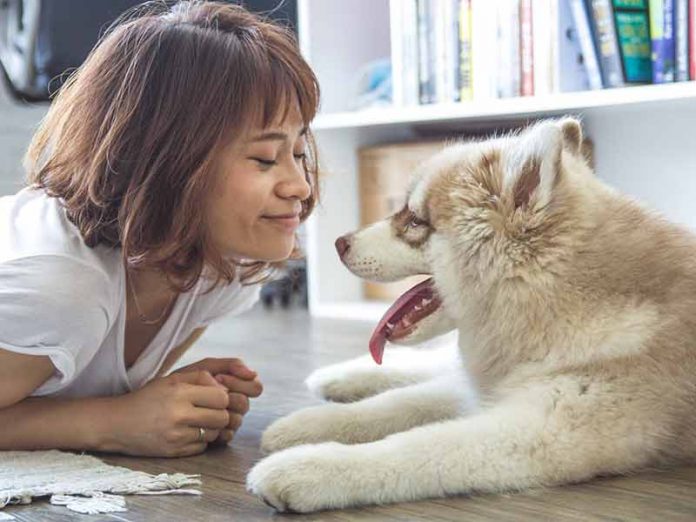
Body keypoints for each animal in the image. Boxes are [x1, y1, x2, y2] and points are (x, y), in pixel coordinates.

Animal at [246, 116, 696, 510]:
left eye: (414, 221)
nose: (339, 243)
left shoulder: (542, 429)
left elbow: (416, 446)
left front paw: (308, 467)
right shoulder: (492, 390)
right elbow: (397, 404)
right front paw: (305, 425)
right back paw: (338, 377)